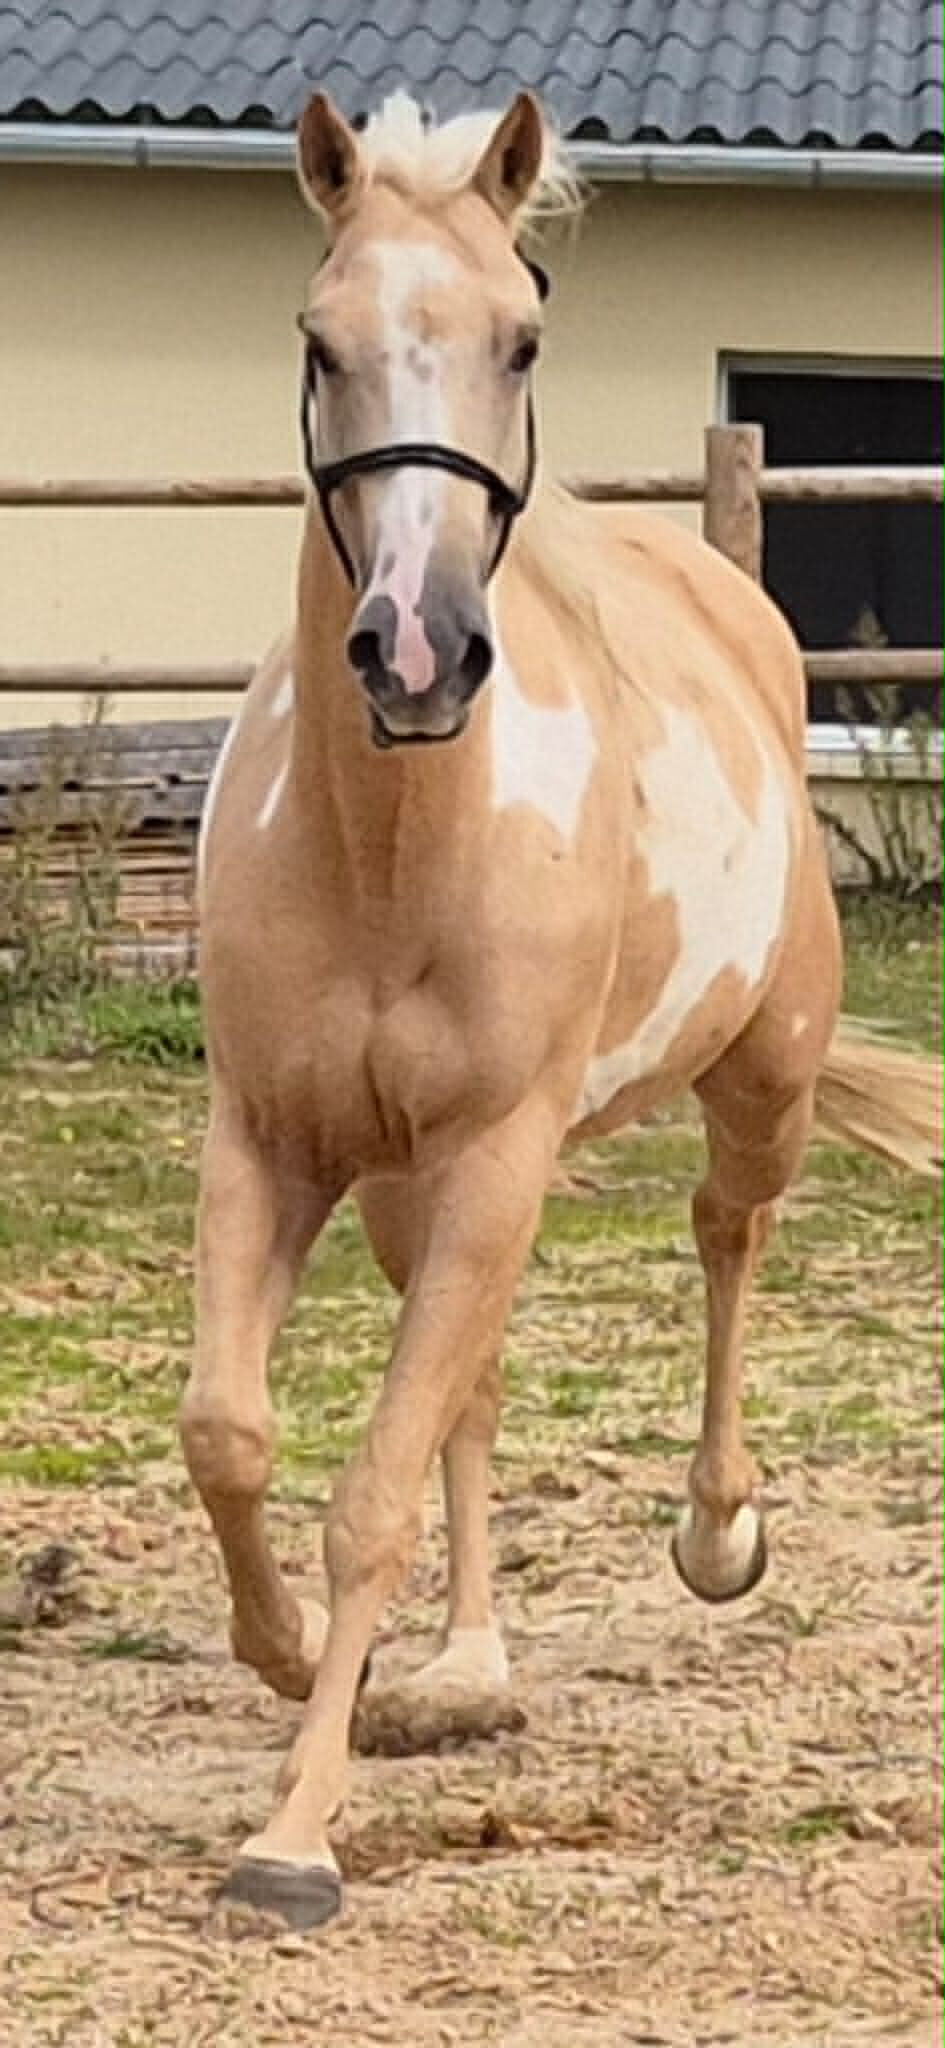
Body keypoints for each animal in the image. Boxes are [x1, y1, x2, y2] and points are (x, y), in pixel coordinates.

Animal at [183, 88, 940, 1931]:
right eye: (318, 340)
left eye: (520, 339)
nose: (417, 653)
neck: (390, 847)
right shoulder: (275, 1142)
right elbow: (232, 1431)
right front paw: (296, 1656)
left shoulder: (499, 1154)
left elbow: (369, 1491)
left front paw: (293, 1835)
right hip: (415, 1186)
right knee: (475, 1380)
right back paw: (464, 1666)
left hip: (755, 1086)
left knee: (730, 1233)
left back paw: (718, 1529)